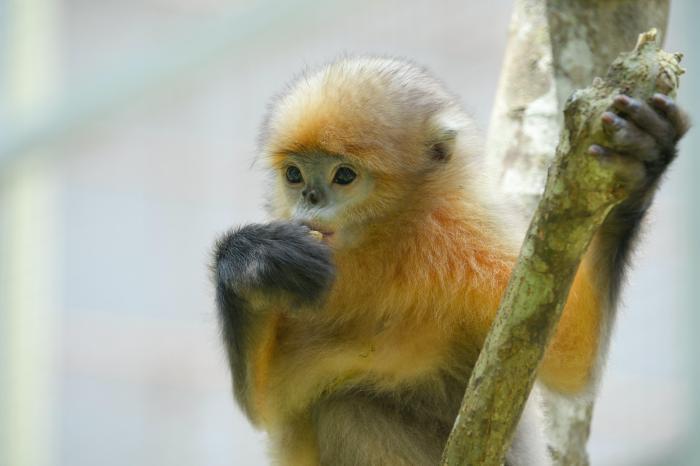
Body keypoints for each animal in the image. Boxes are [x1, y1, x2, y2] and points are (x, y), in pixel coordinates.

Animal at [212, 58, 688, 466]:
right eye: (294, 175)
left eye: (343, 176)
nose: (310, 198)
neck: (383, 242)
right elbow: (269, 400)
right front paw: (254, 259)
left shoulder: (470, 237)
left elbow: (573, 351)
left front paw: (636, 165)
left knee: (347, 409)